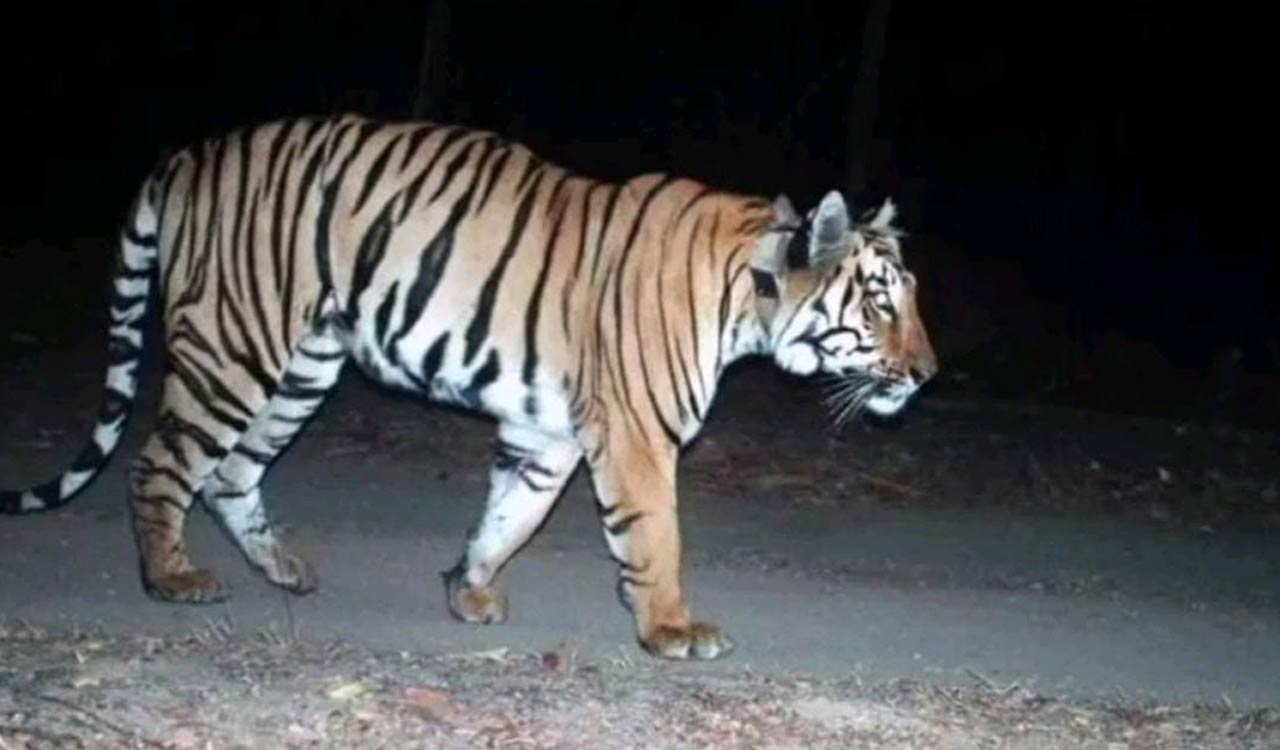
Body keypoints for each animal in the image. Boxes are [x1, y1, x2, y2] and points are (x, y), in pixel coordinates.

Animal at [1, 113, 937, 660]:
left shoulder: (549, 433)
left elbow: (510, 513)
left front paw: (469, 589)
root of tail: (193, 153)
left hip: (304, 364)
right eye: (880, 300)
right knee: (161, 463)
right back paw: (171, 578)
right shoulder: (637, 434)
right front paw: (671, 628)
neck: (748, 297)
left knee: (231, 471)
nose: (928, 374)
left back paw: (284, 571)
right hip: (236, 344)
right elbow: (654, 534)